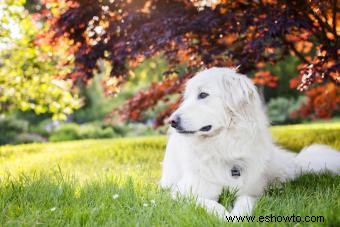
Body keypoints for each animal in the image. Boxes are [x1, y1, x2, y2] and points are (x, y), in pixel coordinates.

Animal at [161, 66, 340, 219]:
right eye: (187, 98)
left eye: (203, 95)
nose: (172, 121)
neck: (224, 146)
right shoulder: (183, 193)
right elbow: (209, 203)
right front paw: (224, 216)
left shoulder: (250, 191)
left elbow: (246, 201)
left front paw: (238, 216)